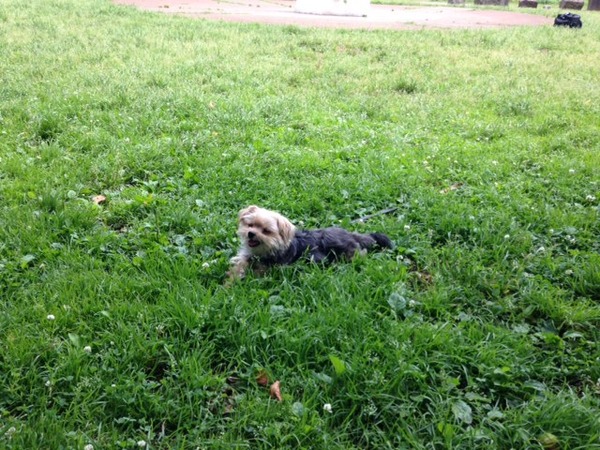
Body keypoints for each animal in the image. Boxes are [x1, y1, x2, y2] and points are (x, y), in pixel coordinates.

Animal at [228, 205, 392, 280]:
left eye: (266, 231)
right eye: (250, 225)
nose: (251, 234)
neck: (264, 252)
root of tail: (351, 235)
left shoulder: (271, 268)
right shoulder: (245, 257)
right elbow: (238, 268)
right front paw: (230, 282)